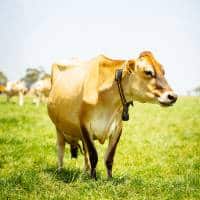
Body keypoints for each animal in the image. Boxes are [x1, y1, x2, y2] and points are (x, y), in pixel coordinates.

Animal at [47, 51, 177, 178]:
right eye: (148, 72)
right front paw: (93, 178)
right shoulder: (84, 125)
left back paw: (85, 170)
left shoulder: (117, 128)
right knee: (60, 149)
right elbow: (94, 155)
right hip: (58, 128)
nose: (173, 96)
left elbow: (109, 158)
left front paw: (109, 179)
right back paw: (60, 170)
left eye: (163, 71)